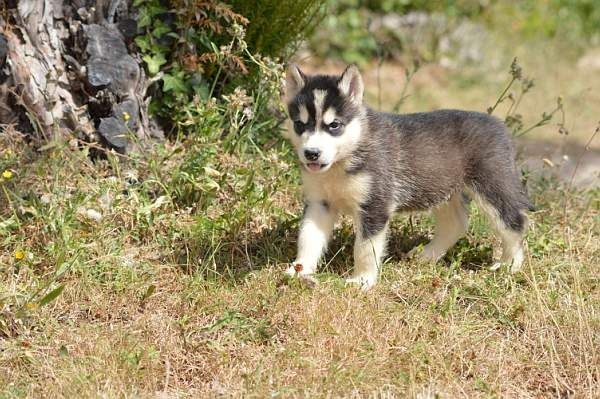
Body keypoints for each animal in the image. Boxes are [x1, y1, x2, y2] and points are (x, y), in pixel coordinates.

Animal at [284, 65, 532, 290]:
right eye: (299, 124)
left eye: (334, 125)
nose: (311, 153)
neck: (341, 163)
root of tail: (498, 124)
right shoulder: (319, 203)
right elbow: (308, 238)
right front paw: (299, 269)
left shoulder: (375, 206)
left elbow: (364, 249)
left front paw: (362, 280)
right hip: (442, 189)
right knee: (456, 224)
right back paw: (426, 256)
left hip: (493, 187)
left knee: (515, 222)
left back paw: (509, 265)